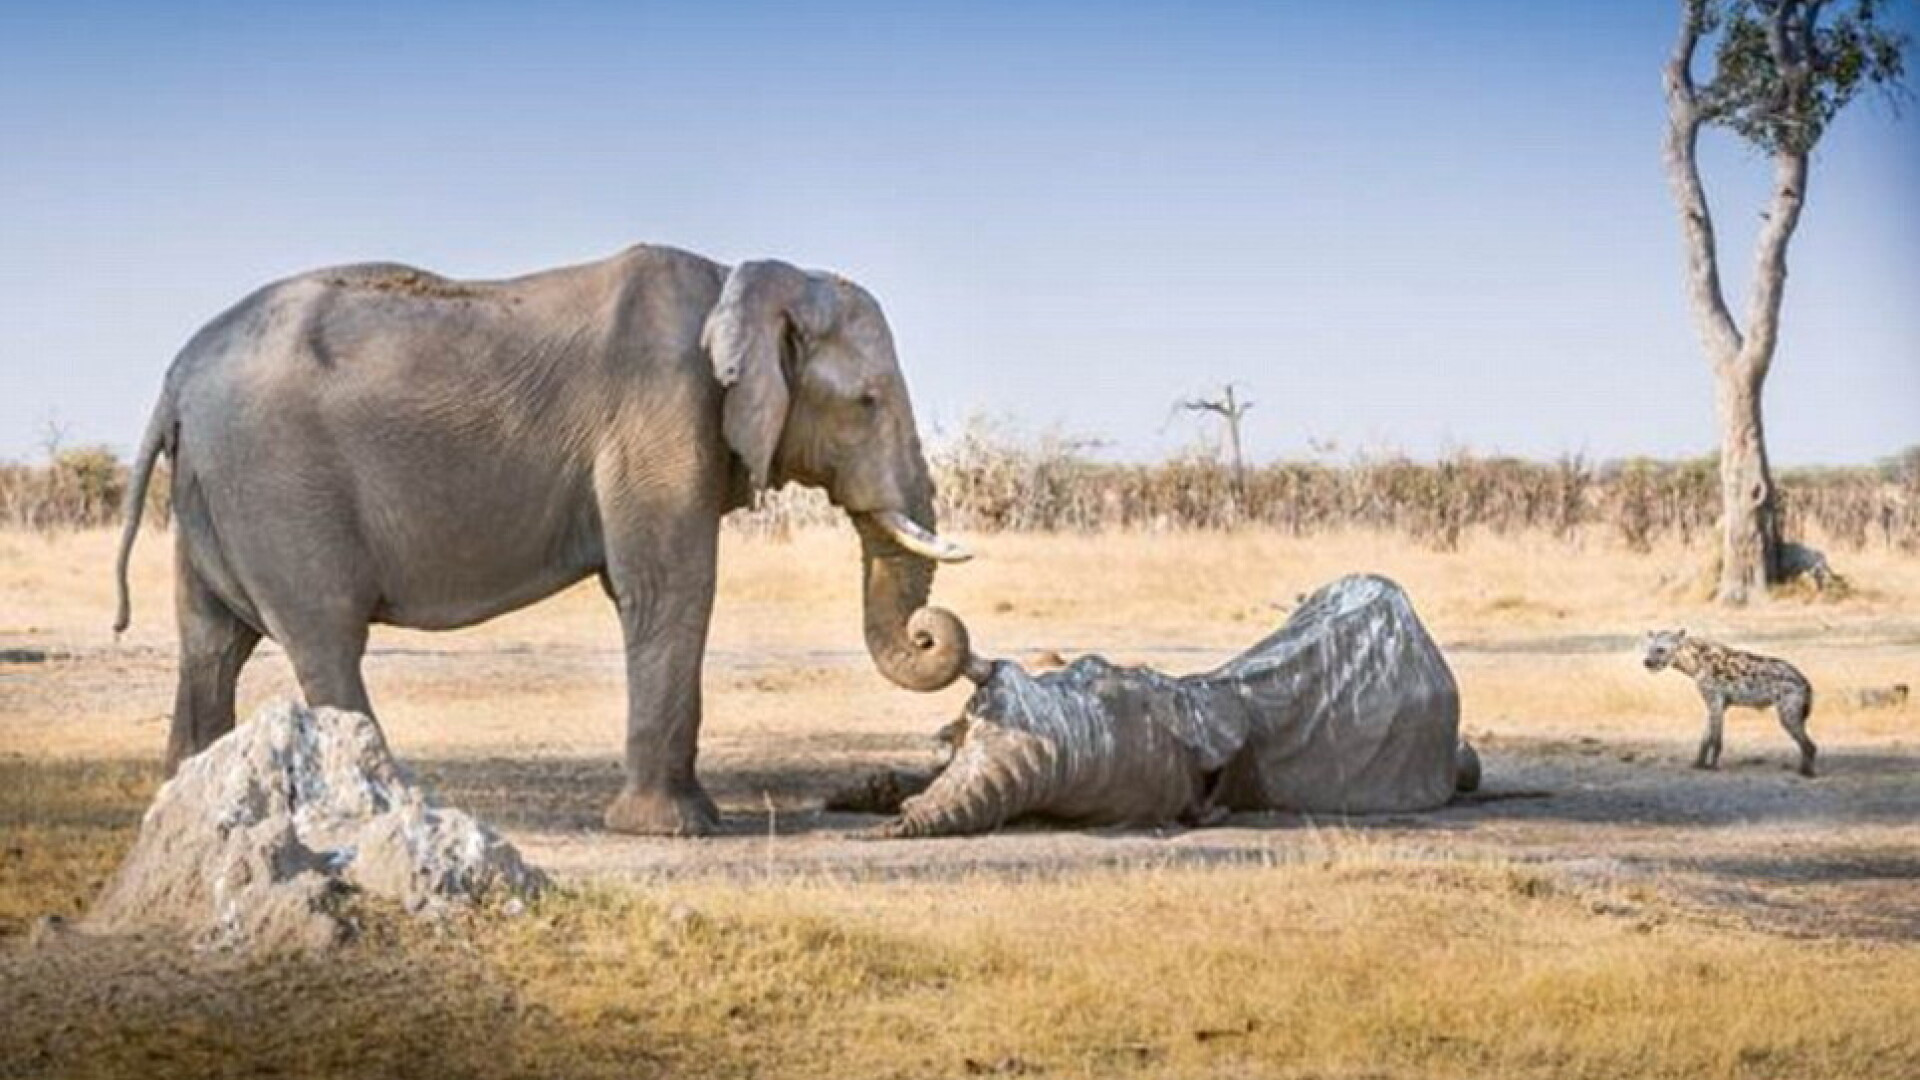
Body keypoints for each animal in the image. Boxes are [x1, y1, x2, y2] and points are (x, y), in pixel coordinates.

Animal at [112, 243, 976, 836]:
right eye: (868, 402)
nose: (932, 637)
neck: (741, 277)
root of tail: (175, 376)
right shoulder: (662, 417)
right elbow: (668, 587)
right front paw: (678, 831)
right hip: (277, 482)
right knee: (324, 638)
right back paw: (381, 808)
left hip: (212, 491)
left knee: (211, 644)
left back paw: (186, 807)